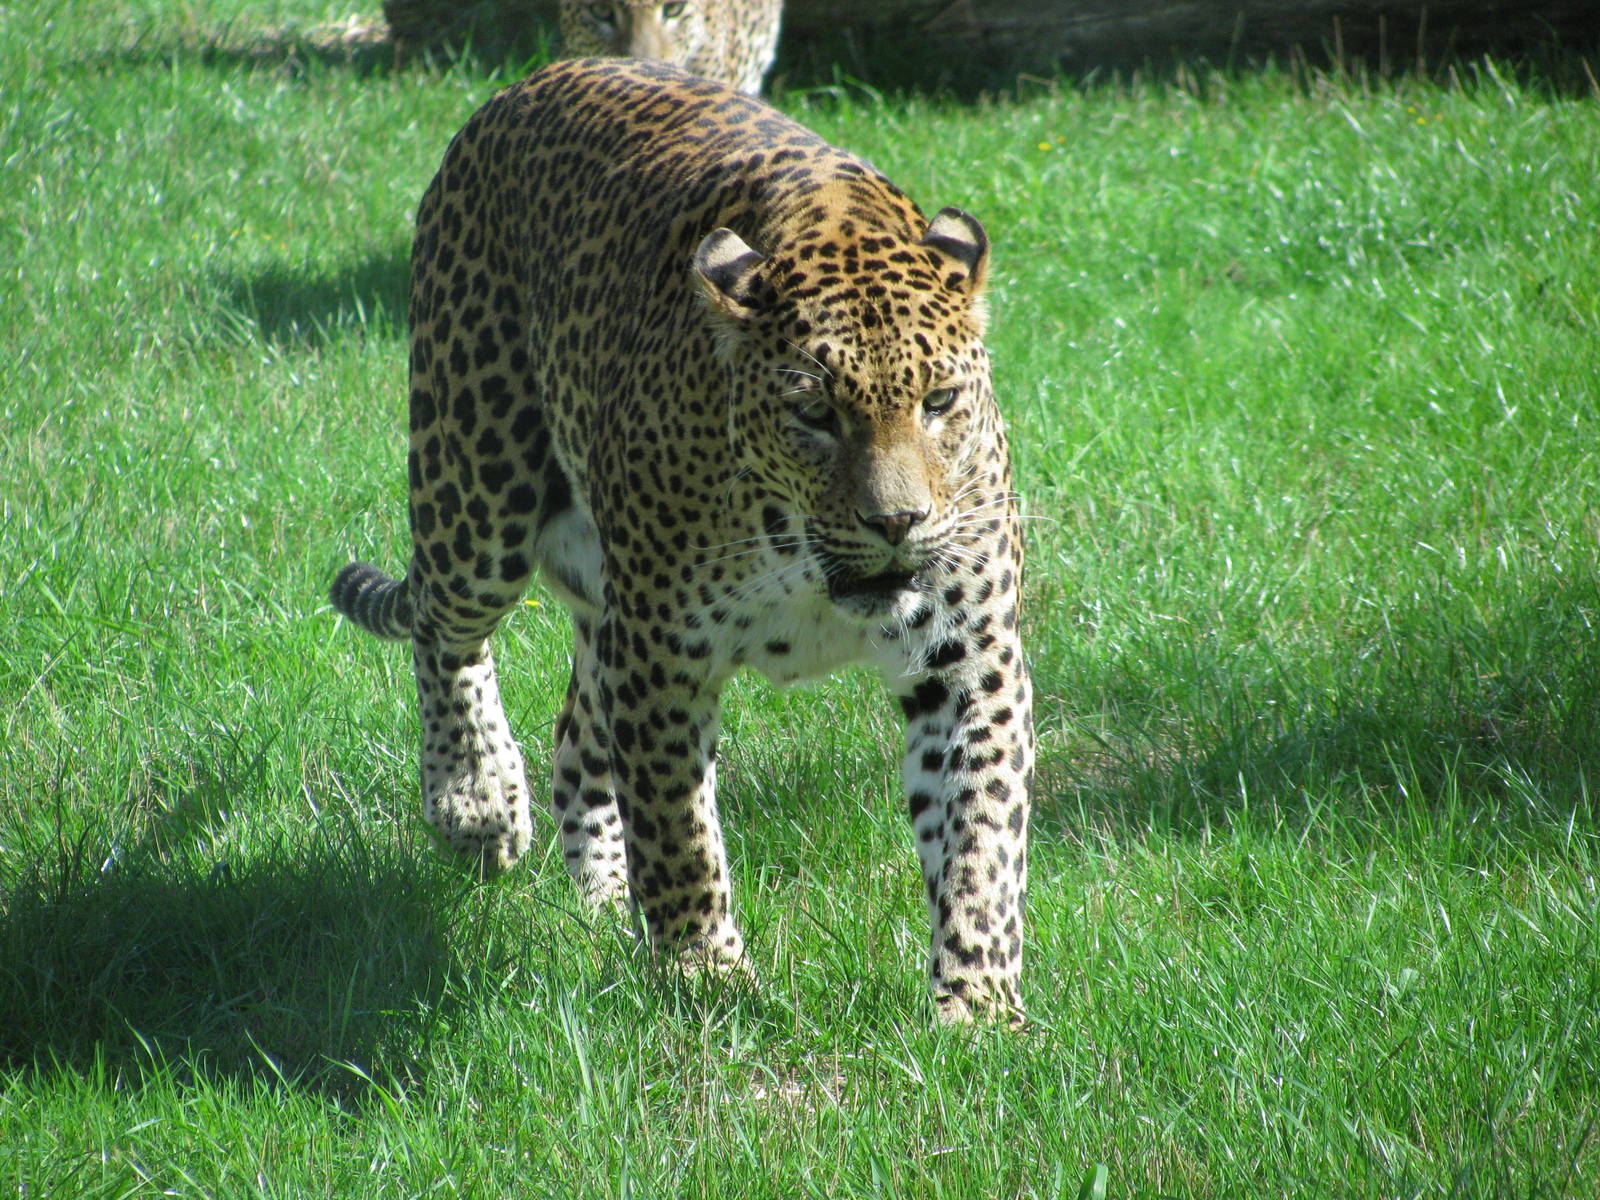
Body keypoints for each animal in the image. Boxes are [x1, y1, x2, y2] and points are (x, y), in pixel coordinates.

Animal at [329, 57, 1034, 1025]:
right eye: (815, 414)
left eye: (939, 402)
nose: (897, 523)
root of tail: (534, 80)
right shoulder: (664, 656)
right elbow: (679, 830)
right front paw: (705, 976)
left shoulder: (972, 660)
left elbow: (979, 838)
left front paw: (979, 1007)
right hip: (477, 485)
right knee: (446, 631)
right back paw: (475, 802)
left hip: (599, 594)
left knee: (575, 735)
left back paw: (598, 899)